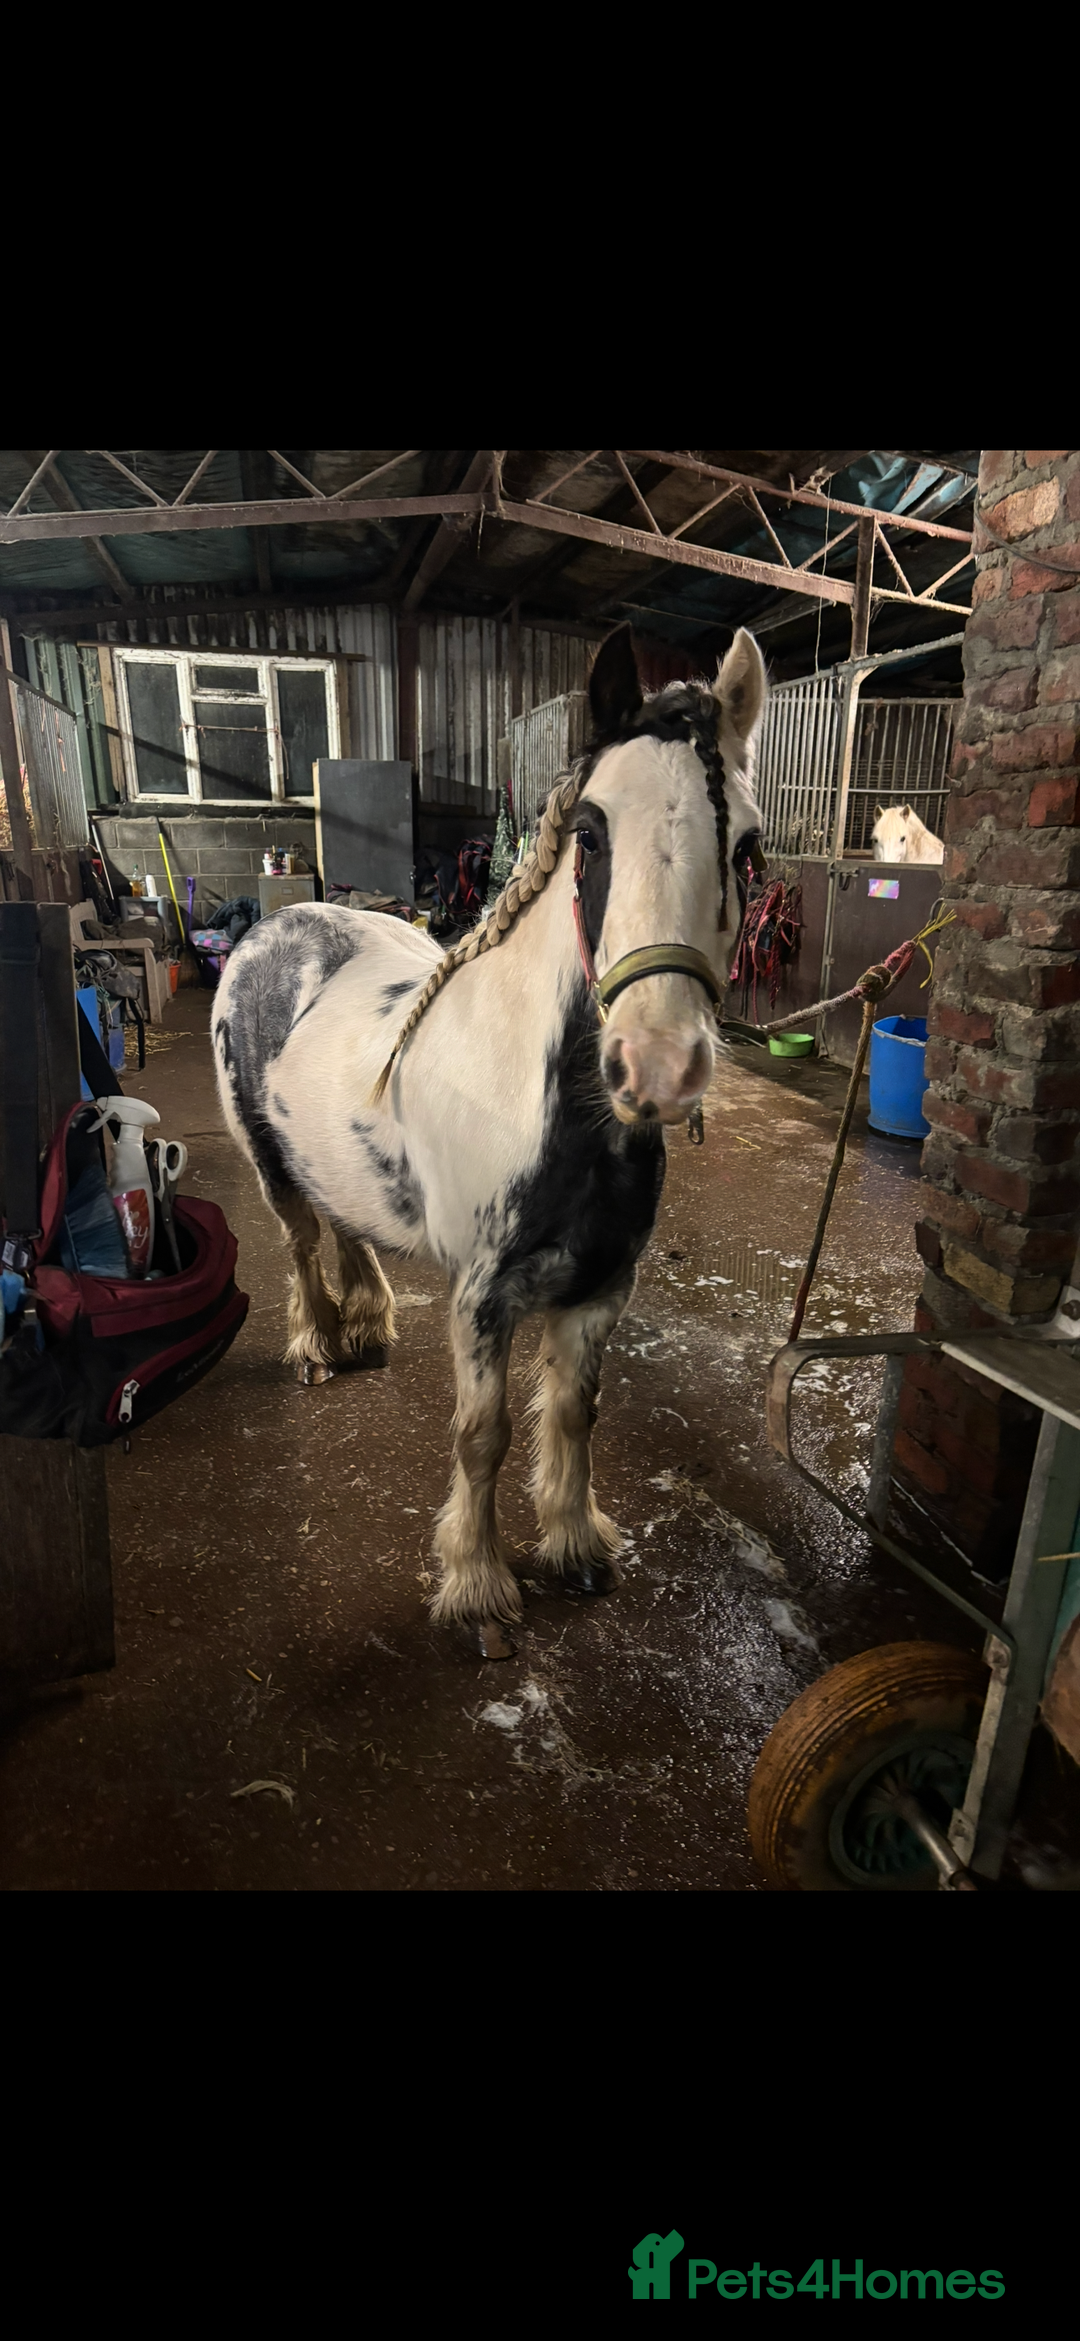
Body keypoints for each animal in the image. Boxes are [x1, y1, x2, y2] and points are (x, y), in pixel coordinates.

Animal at [212, 624, 766, 1646]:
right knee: (301, 1242)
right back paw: (317, 1345)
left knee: (345, 1222)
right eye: (590, 832)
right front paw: (477, 1585)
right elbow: (484, 1434)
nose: (657, 1067)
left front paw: (575, 1545)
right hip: (268, 1164)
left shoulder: (601, 1286)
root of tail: (278, 926)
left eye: (746, 846)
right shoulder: (481, 1299)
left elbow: (576, 1413)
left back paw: (368, 1323)